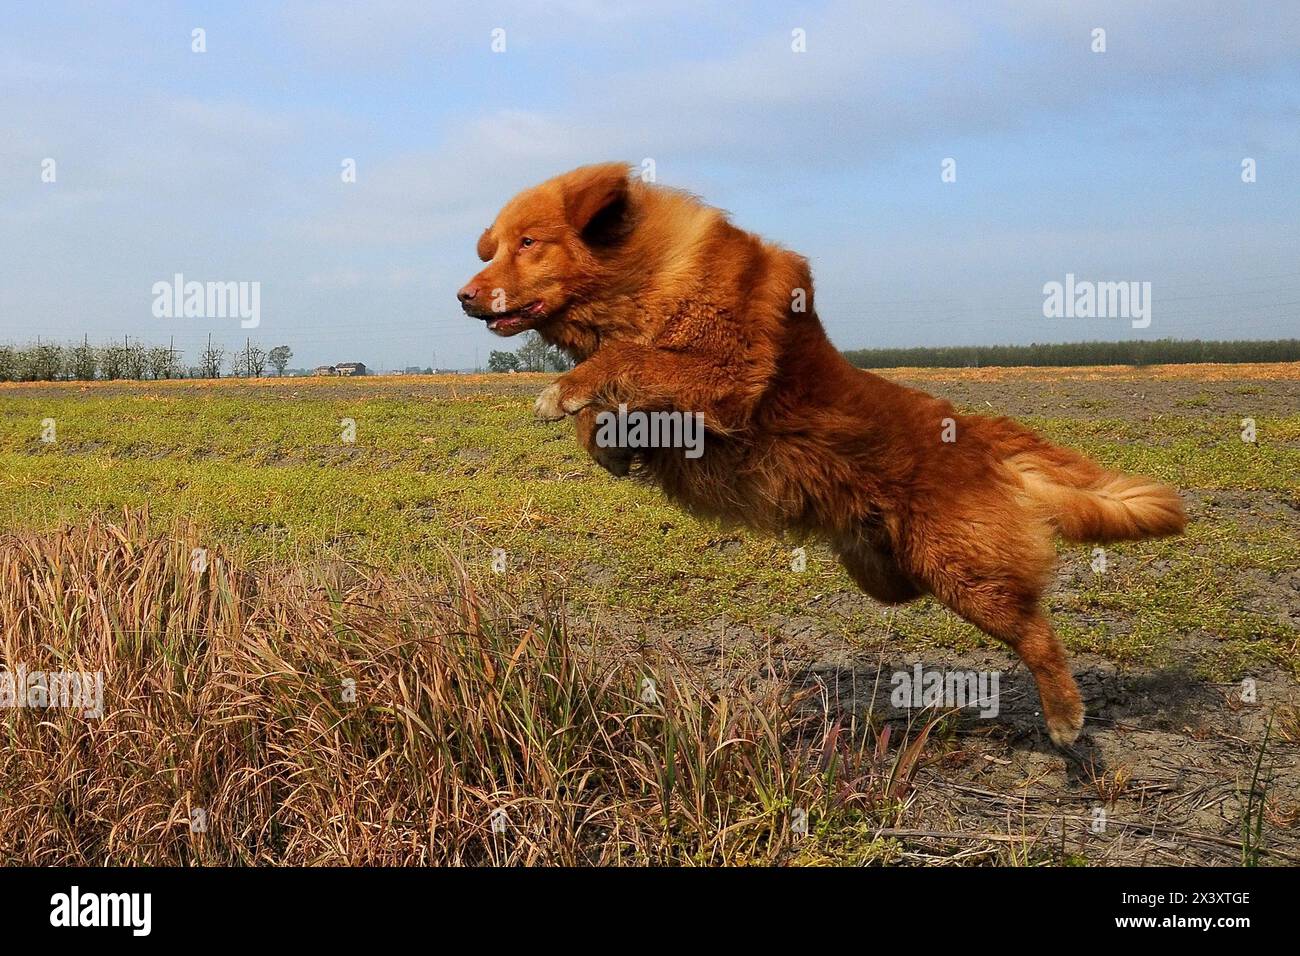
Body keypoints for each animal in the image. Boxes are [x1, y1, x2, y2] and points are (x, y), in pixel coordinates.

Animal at [460, 164, 1190, 749]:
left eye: (529, 243)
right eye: (497, 246)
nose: (464, 296)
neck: (640, 281)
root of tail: (974, 431)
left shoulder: (726, 378)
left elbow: (627, 360)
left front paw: (565, 391)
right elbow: (613, 406)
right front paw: (605, 439)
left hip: (963, 570)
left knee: (1037, 632)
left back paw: (1066, 717)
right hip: (891, 575)